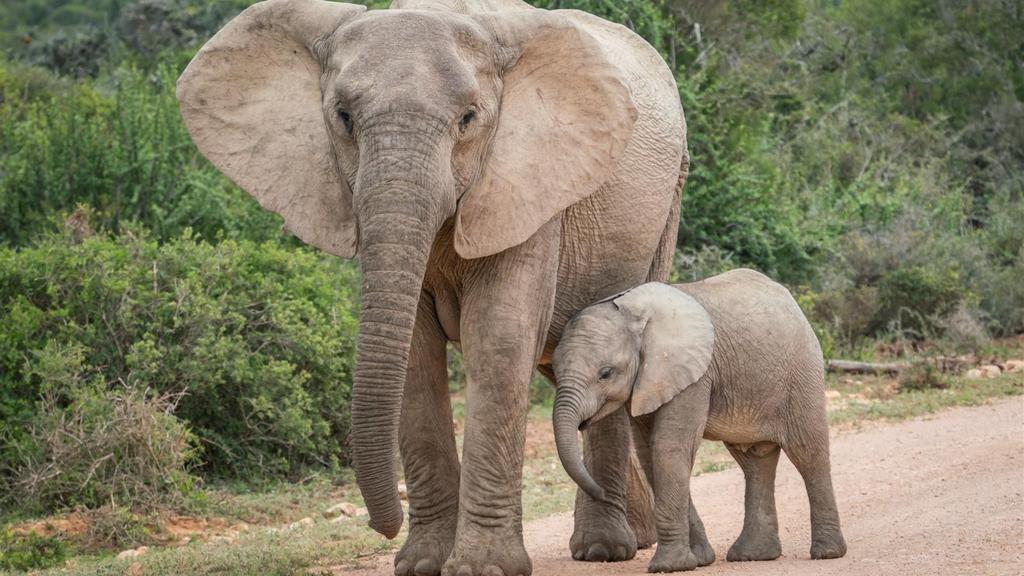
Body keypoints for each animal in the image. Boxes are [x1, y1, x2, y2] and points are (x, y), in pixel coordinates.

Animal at [178, 0, 688, 569]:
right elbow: (415, 356)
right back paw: (634, 538)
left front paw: (482, 568)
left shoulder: (526, 187)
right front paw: (422, 564)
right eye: (343, 117)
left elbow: (499, 340)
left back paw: (604, 550)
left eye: (468, 119)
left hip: (667, 207)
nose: (382, 525)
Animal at [552, 268, 847, 569]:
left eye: (606, 373)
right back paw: (753, 555)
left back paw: (827, 552)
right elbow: (649, 454)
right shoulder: (648, 382)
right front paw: (699, 560)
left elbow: (669, 448)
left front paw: (669, 567)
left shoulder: (693, 374)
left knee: (807, 452)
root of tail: (792, 301)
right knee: (754, 461)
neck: (633, 315)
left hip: (802, 371)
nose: (600, 492)